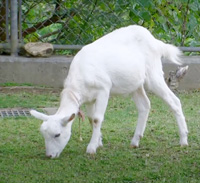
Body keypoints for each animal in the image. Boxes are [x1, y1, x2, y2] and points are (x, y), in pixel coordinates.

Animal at [29, 25, 188, 158]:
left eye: (57, 134)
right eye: (43, 134)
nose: (49, 155)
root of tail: (156, 42)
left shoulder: (103, 90)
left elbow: (97, 118)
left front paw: (91, 148)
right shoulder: (89, 98)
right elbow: (90, 118)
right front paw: (99, 142)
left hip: (153, 74)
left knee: (174, 101)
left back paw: (183, 140)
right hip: (135, 83)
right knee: (145, 105)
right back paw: (135, 141)